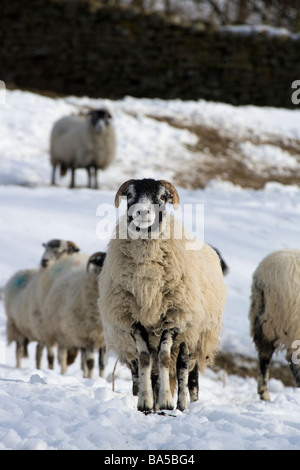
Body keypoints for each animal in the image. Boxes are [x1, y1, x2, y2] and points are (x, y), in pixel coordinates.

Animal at [3, 241, 81, 370]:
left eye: (63, 250)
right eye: (46, 248)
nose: (44, 261)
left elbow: (64, 356)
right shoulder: (46, 330)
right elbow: (51, 356)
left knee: (38, 350)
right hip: (17, 326)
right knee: (21, 351)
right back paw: (20, 367)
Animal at [39, 250, 106, 378]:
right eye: (100, 263)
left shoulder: (103, 339)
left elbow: (102, 363)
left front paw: (101, 379)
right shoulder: (85, 337)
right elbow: (91, 362)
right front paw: (90, 379)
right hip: (60, 332)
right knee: (62, 356)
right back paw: (63, 373)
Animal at [97, 178, 226, 414]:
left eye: (162, 197)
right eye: (130, 195)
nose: (141, 211)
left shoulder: (174, 318)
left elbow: (165, 359)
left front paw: (166, 401)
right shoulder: (132, 321)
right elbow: (145, 358)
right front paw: (146, 404)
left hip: (193, 335)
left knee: (185, 371)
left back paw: (184, 405)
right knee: (153, 371)